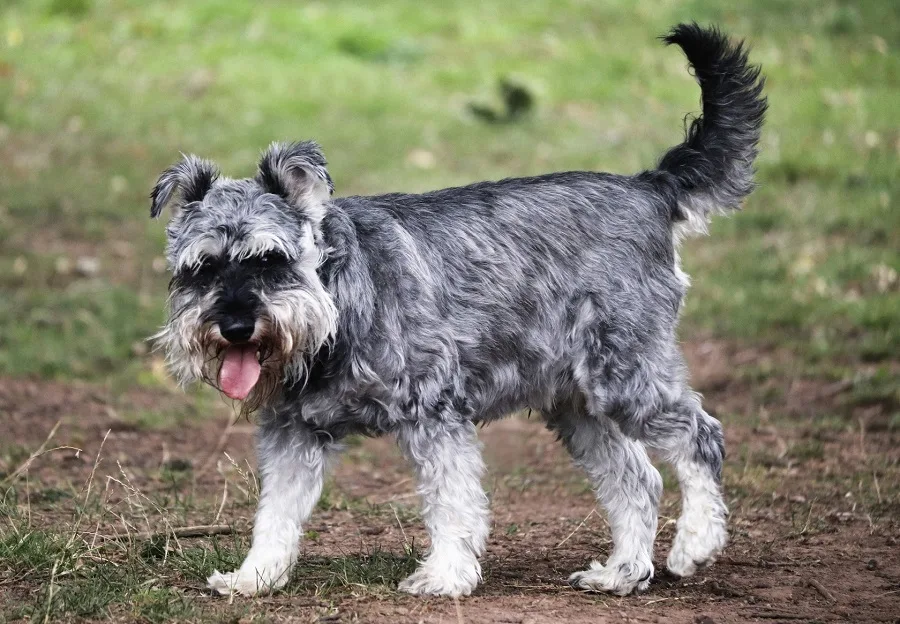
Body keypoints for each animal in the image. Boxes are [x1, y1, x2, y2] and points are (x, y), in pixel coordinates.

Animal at [149, 23, 768, 600]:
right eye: (201, 267)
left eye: (271, 259)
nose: (235, 326)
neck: (338, 301)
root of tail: (651, 189)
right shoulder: (293, 431)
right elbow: (276, 514)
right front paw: (254, 577)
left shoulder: (435, 413)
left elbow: (453, 503)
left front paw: (445, 575)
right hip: (578, 405)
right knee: (636, 480)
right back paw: (621, 573)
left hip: (625, 374)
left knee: (699, 435)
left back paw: (695, 543)